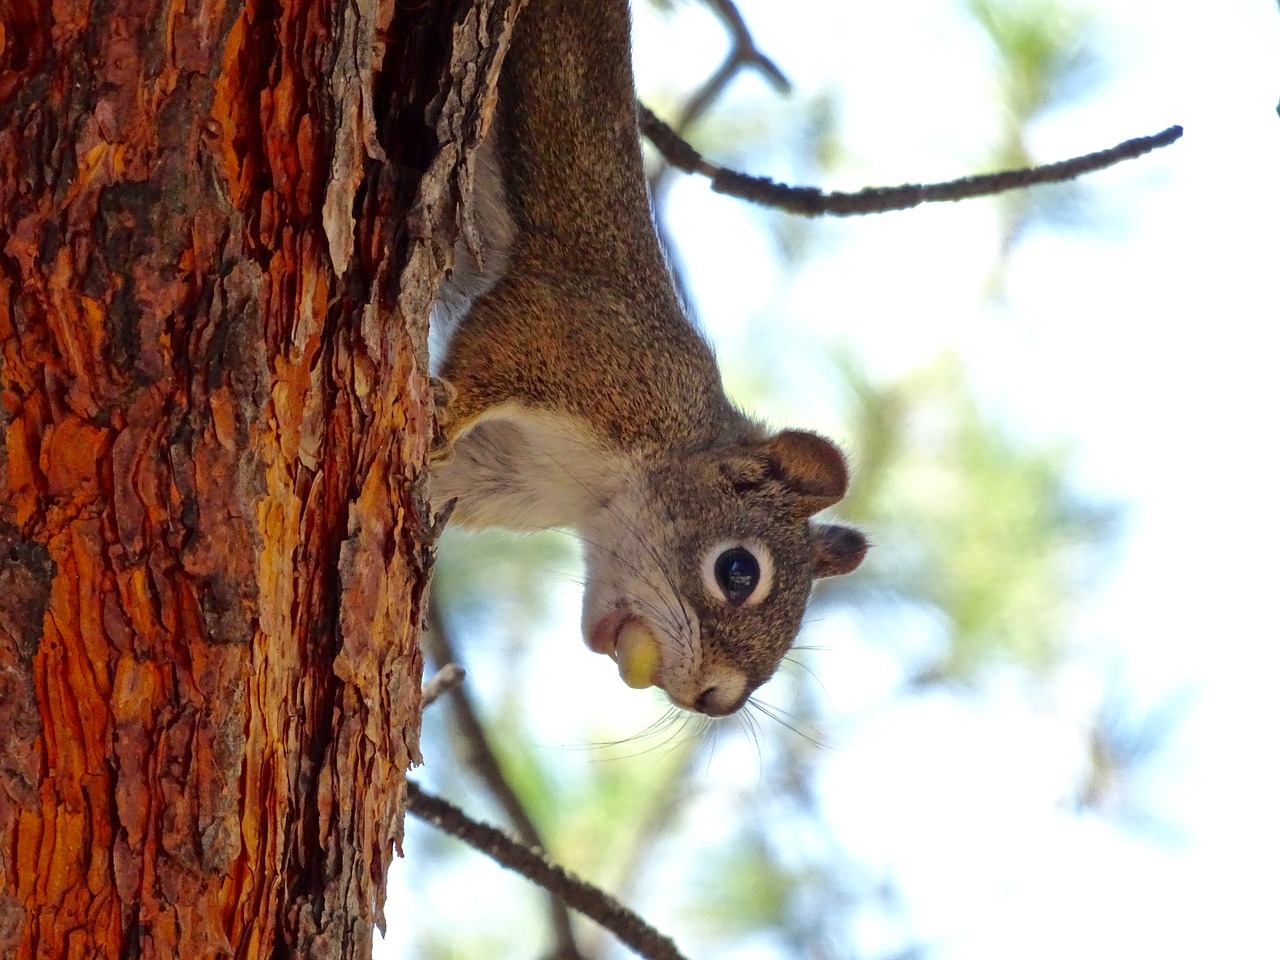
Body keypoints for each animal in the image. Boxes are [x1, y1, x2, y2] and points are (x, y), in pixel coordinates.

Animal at [430, 0, 870, 716]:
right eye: (738, 571)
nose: (715, 701)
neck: (600, 487)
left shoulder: (503, 472)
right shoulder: (584, 347)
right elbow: (491, 358)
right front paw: (441, 412)